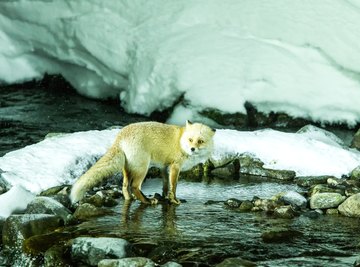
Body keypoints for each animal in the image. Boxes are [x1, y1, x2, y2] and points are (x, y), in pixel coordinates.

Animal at [71, 121, 217, 205]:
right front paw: (174, 200)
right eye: (190, 140)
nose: (192, 149)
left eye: (200, 141)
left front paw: (165, 197)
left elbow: (165, 185)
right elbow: (173, 186)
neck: (181, 142)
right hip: (143, 168)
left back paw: (130, 199)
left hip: (128, 168)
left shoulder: (165, 167)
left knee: (125, 186)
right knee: (134, 186)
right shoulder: (175, 166)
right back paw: (147, 201)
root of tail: (120, 135)